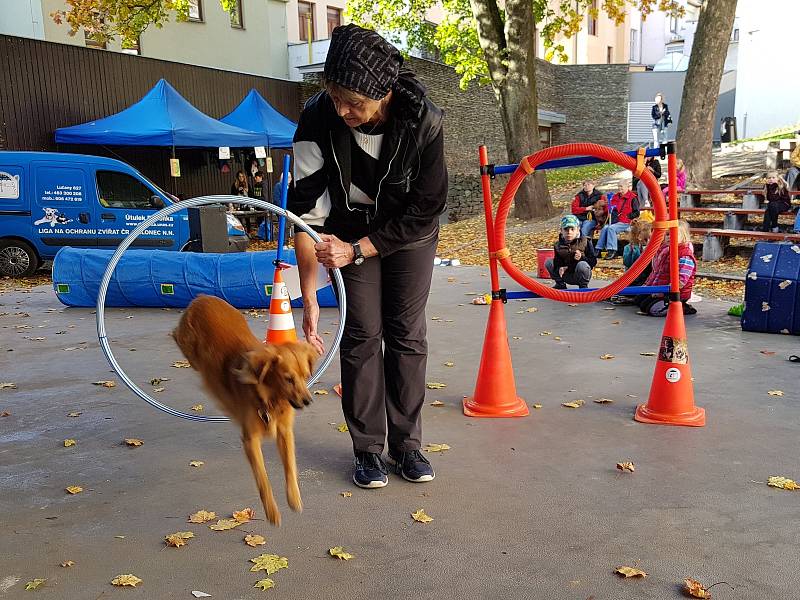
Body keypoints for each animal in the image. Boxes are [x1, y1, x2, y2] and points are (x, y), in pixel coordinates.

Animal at [173, 294, 318, 524]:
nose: (307, 401)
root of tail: (202, 297)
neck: (271, 399)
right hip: (190, 350)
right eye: (288, 379)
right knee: (175, 337)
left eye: (305, 376)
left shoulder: (285, 432)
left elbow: (290, 467)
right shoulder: (250, 440)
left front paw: (294, 498)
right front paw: (272, 511)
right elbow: (263, 479)